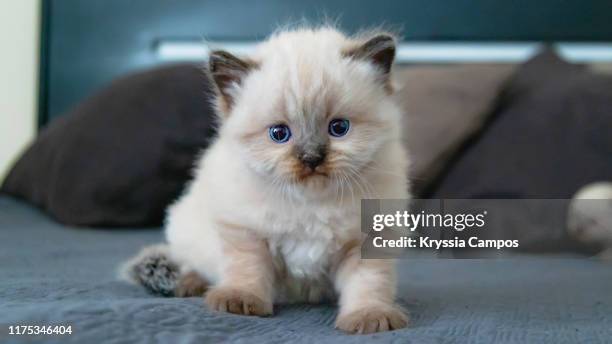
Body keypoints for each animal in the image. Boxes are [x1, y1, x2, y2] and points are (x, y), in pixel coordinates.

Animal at [123, 26, 412, 334]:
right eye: (279, 134)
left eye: (339, 128)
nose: (311, 158)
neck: (311, 204)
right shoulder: (245, 231)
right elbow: (247, 271)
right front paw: (238, 301)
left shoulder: (367, 241)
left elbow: (369, 285)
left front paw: (369, 317)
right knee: (188, 263)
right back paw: (189, 285)